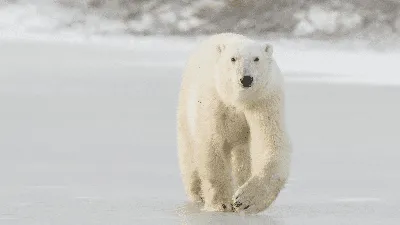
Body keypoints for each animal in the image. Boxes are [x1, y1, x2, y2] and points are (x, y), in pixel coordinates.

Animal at [177, 32, 292, 214]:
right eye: (233, 59)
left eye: (256, 58)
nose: (246, 79)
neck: (237, 100)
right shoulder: (214, 102)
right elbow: (211, 145)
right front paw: (221, 203)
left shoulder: (264, 100)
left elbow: (271, 142)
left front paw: (245, 200)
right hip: (185, 107)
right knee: (189, 151)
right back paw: (197, 193)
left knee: (242, 158)